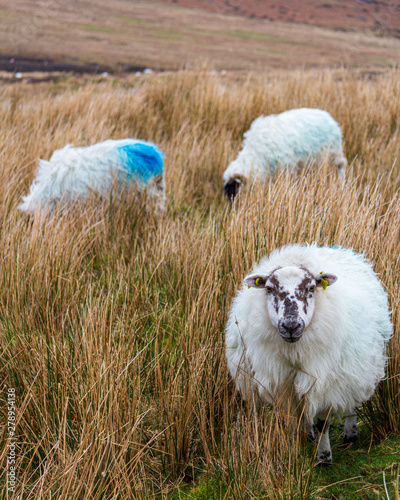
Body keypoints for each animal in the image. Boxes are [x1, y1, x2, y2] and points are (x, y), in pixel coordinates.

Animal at [227, 245, 392, 464]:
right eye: (269, 289)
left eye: (311, 288)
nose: (291, 326)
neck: (294, 351)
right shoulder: (283, 385)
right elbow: (291, 420)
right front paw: (294, 448)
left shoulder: (325, 382)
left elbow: (323, 422)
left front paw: (324, 457)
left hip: (351, 367)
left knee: (350, 399)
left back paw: (350, 433)